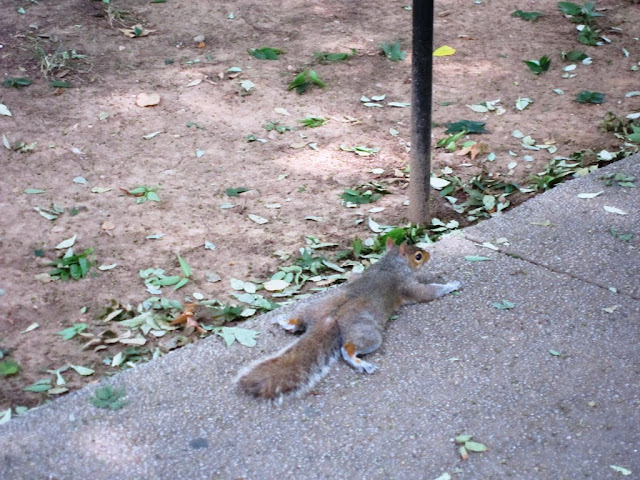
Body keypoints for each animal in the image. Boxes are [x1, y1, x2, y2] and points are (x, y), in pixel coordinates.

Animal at [235, 238, 460, 404]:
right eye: (418, 256)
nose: (429, 255)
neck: (390, 263)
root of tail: (328, 319)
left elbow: (353, 276)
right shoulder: (406, 285)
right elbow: (427, 293)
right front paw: (451, 285)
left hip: (312, 307)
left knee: (300, 319)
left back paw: (287, 322)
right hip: (366, 332)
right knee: (348, 348)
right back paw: (360, 363)